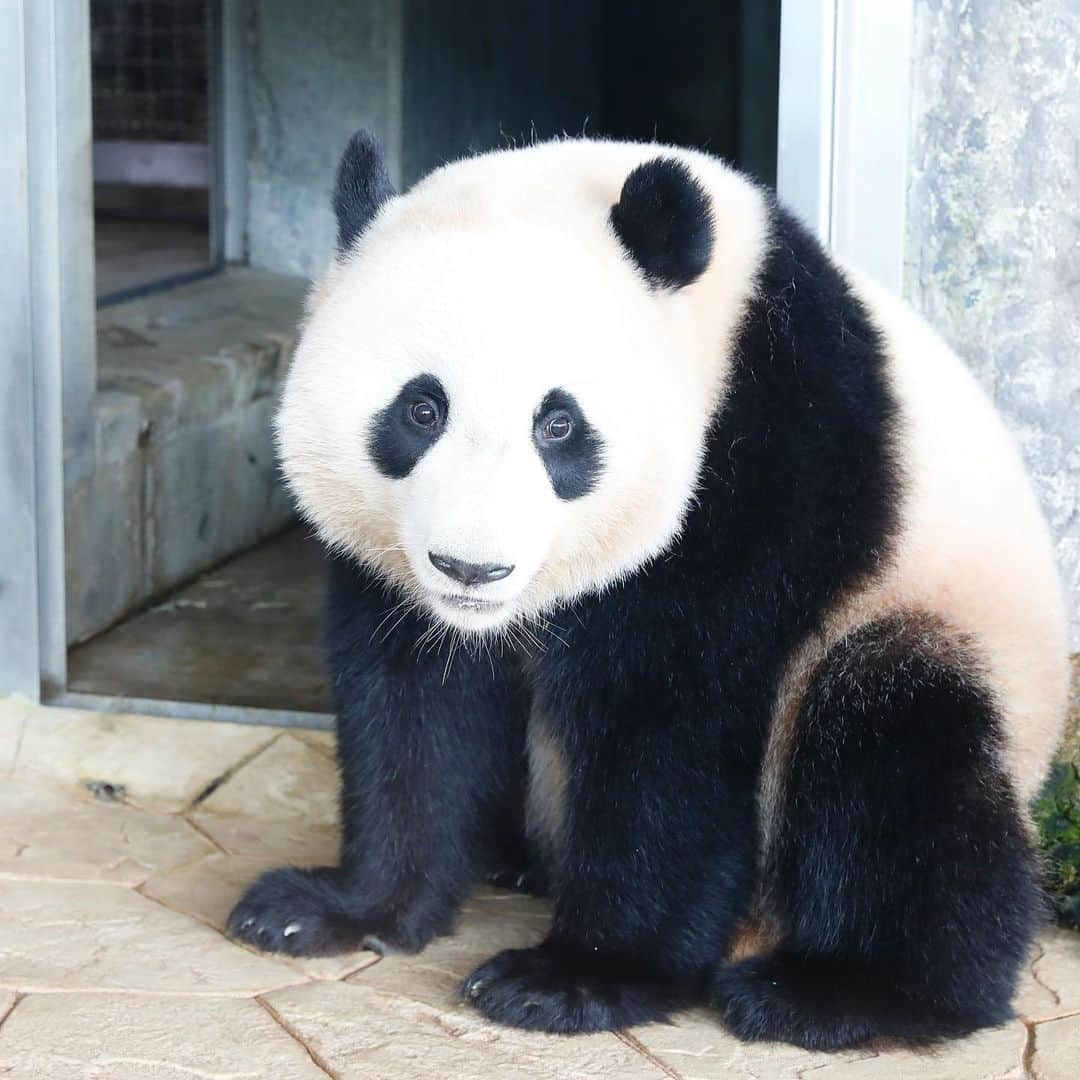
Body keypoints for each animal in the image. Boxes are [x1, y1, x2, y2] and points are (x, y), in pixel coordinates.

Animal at [223, 130, 1067, 1049]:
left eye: (558, 425)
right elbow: (412, 703)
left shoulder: (771, 460)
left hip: (935, 625)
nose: (471, 571)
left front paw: (575, 979)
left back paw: (846, 990)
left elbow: (669, 723)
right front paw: (335, 908)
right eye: (420, 410)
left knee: (895, 738)